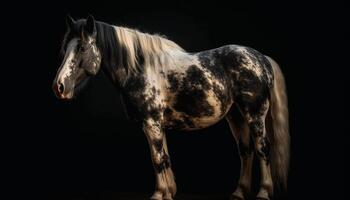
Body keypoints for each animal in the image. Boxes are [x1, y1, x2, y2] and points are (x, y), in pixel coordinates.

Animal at [52, 15, 290, 200]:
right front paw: (168, 192)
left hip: (254, 114)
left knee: (262, 148)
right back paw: (239, 192)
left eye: (82, 47)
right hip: (236, 117)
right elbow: (163, 157)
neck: (140, 68)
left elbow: (157, 159)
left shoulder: (151, 122)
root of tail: (261, 58)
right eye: (65, 48)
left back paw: (263, 192)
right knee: (245, 150)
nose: (59, 86)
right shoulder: (155, 124)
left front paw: (159, 194)